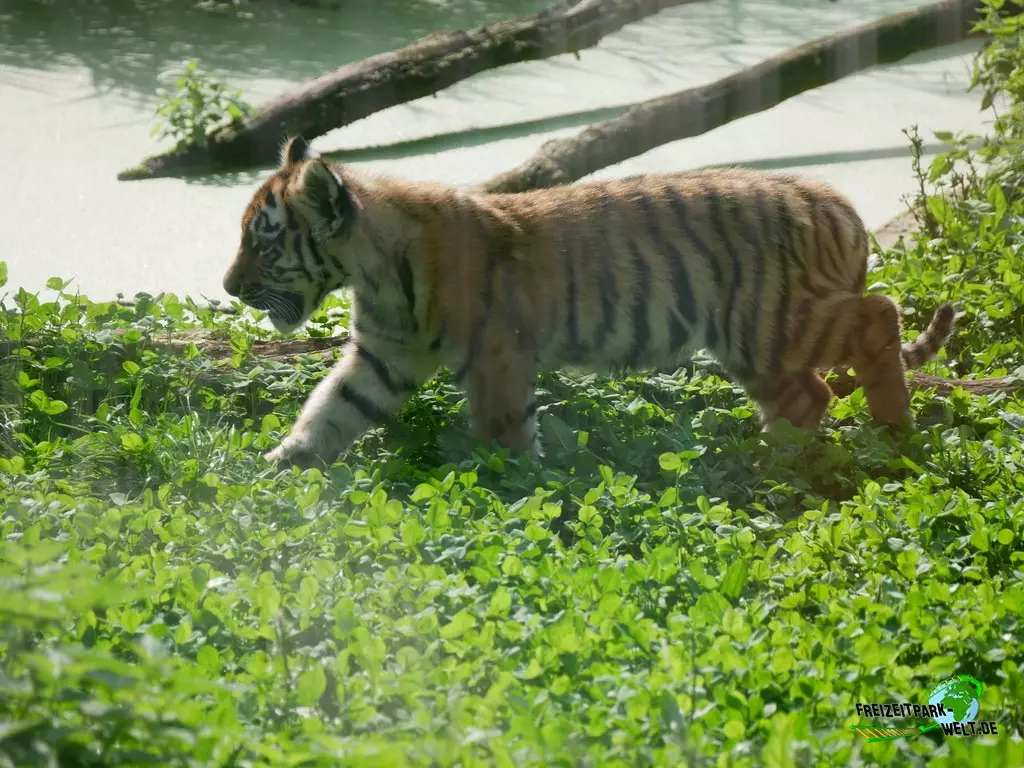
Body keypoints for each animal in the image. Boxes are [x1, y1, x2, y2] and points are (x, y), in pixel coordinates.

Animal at [222, 135, 956, 471]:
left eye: (264, 241)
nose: (228, 286)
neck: (370, 270)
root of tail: (837, 202)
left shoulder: (497, 356)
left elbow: (503, 432)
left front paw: (518, 488)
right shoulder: (385, 355)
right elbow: (330, 409)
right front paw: (278, 468)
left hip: (775, 321)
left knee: (880, 317)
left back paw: (894, 429)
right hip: (756, 341)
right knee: (810, 396)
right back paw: (770, 462)